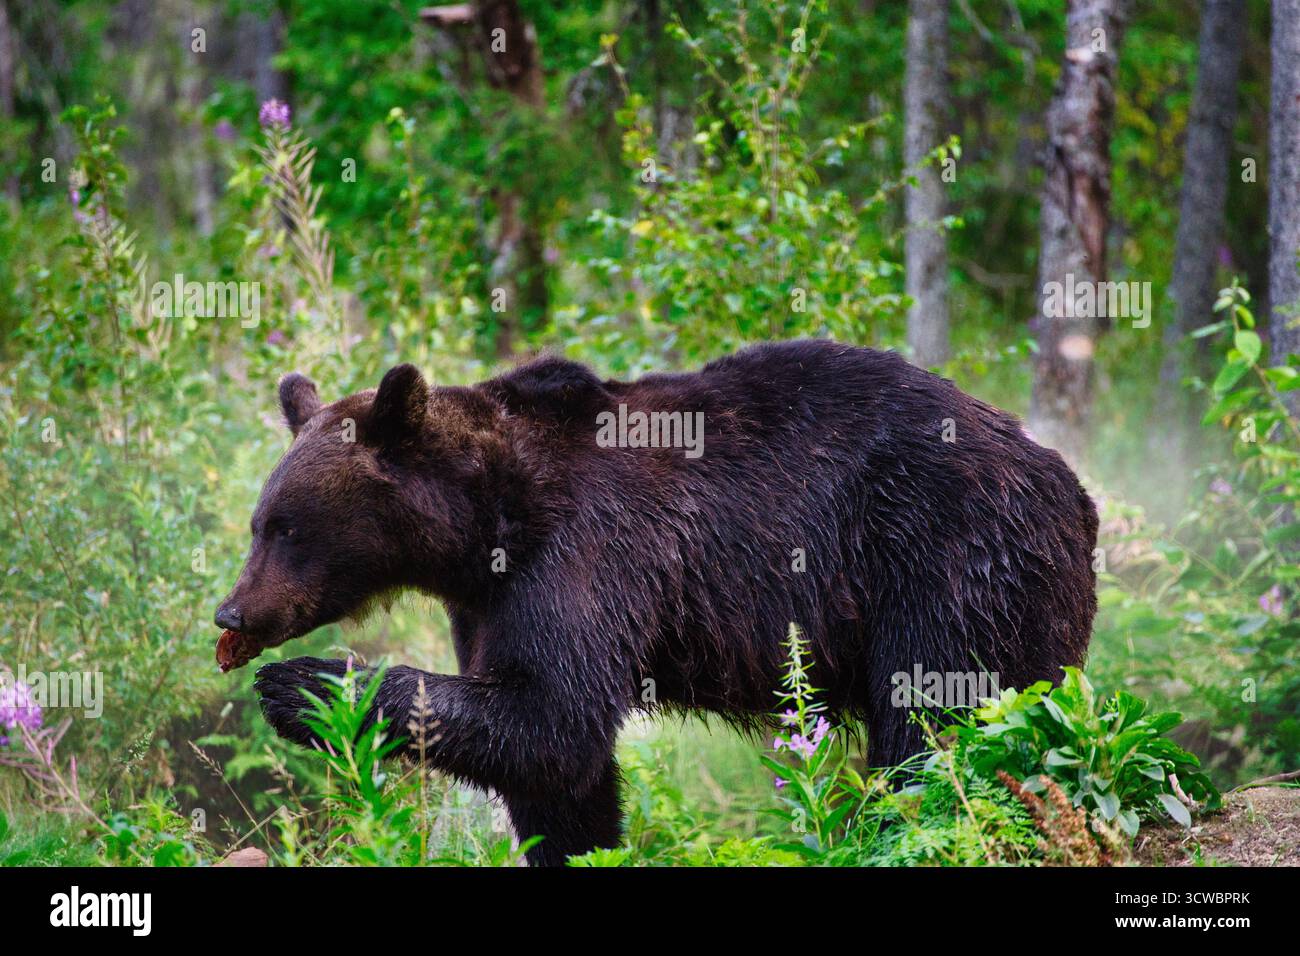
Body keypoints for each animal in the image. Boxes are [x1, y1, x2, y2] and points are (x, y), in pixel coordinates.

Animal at [215, 338, 1098, 866]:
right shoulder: (489, 599)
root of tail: (1070, 483)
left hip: (947, 557)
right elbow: (553, 767)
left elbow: (552, 716)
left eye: (286, 527)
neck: (491, 517)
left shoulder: (587, 554)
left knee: (933, 717)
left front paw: (309, 686)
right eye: (261, 522)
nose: (232, 615)